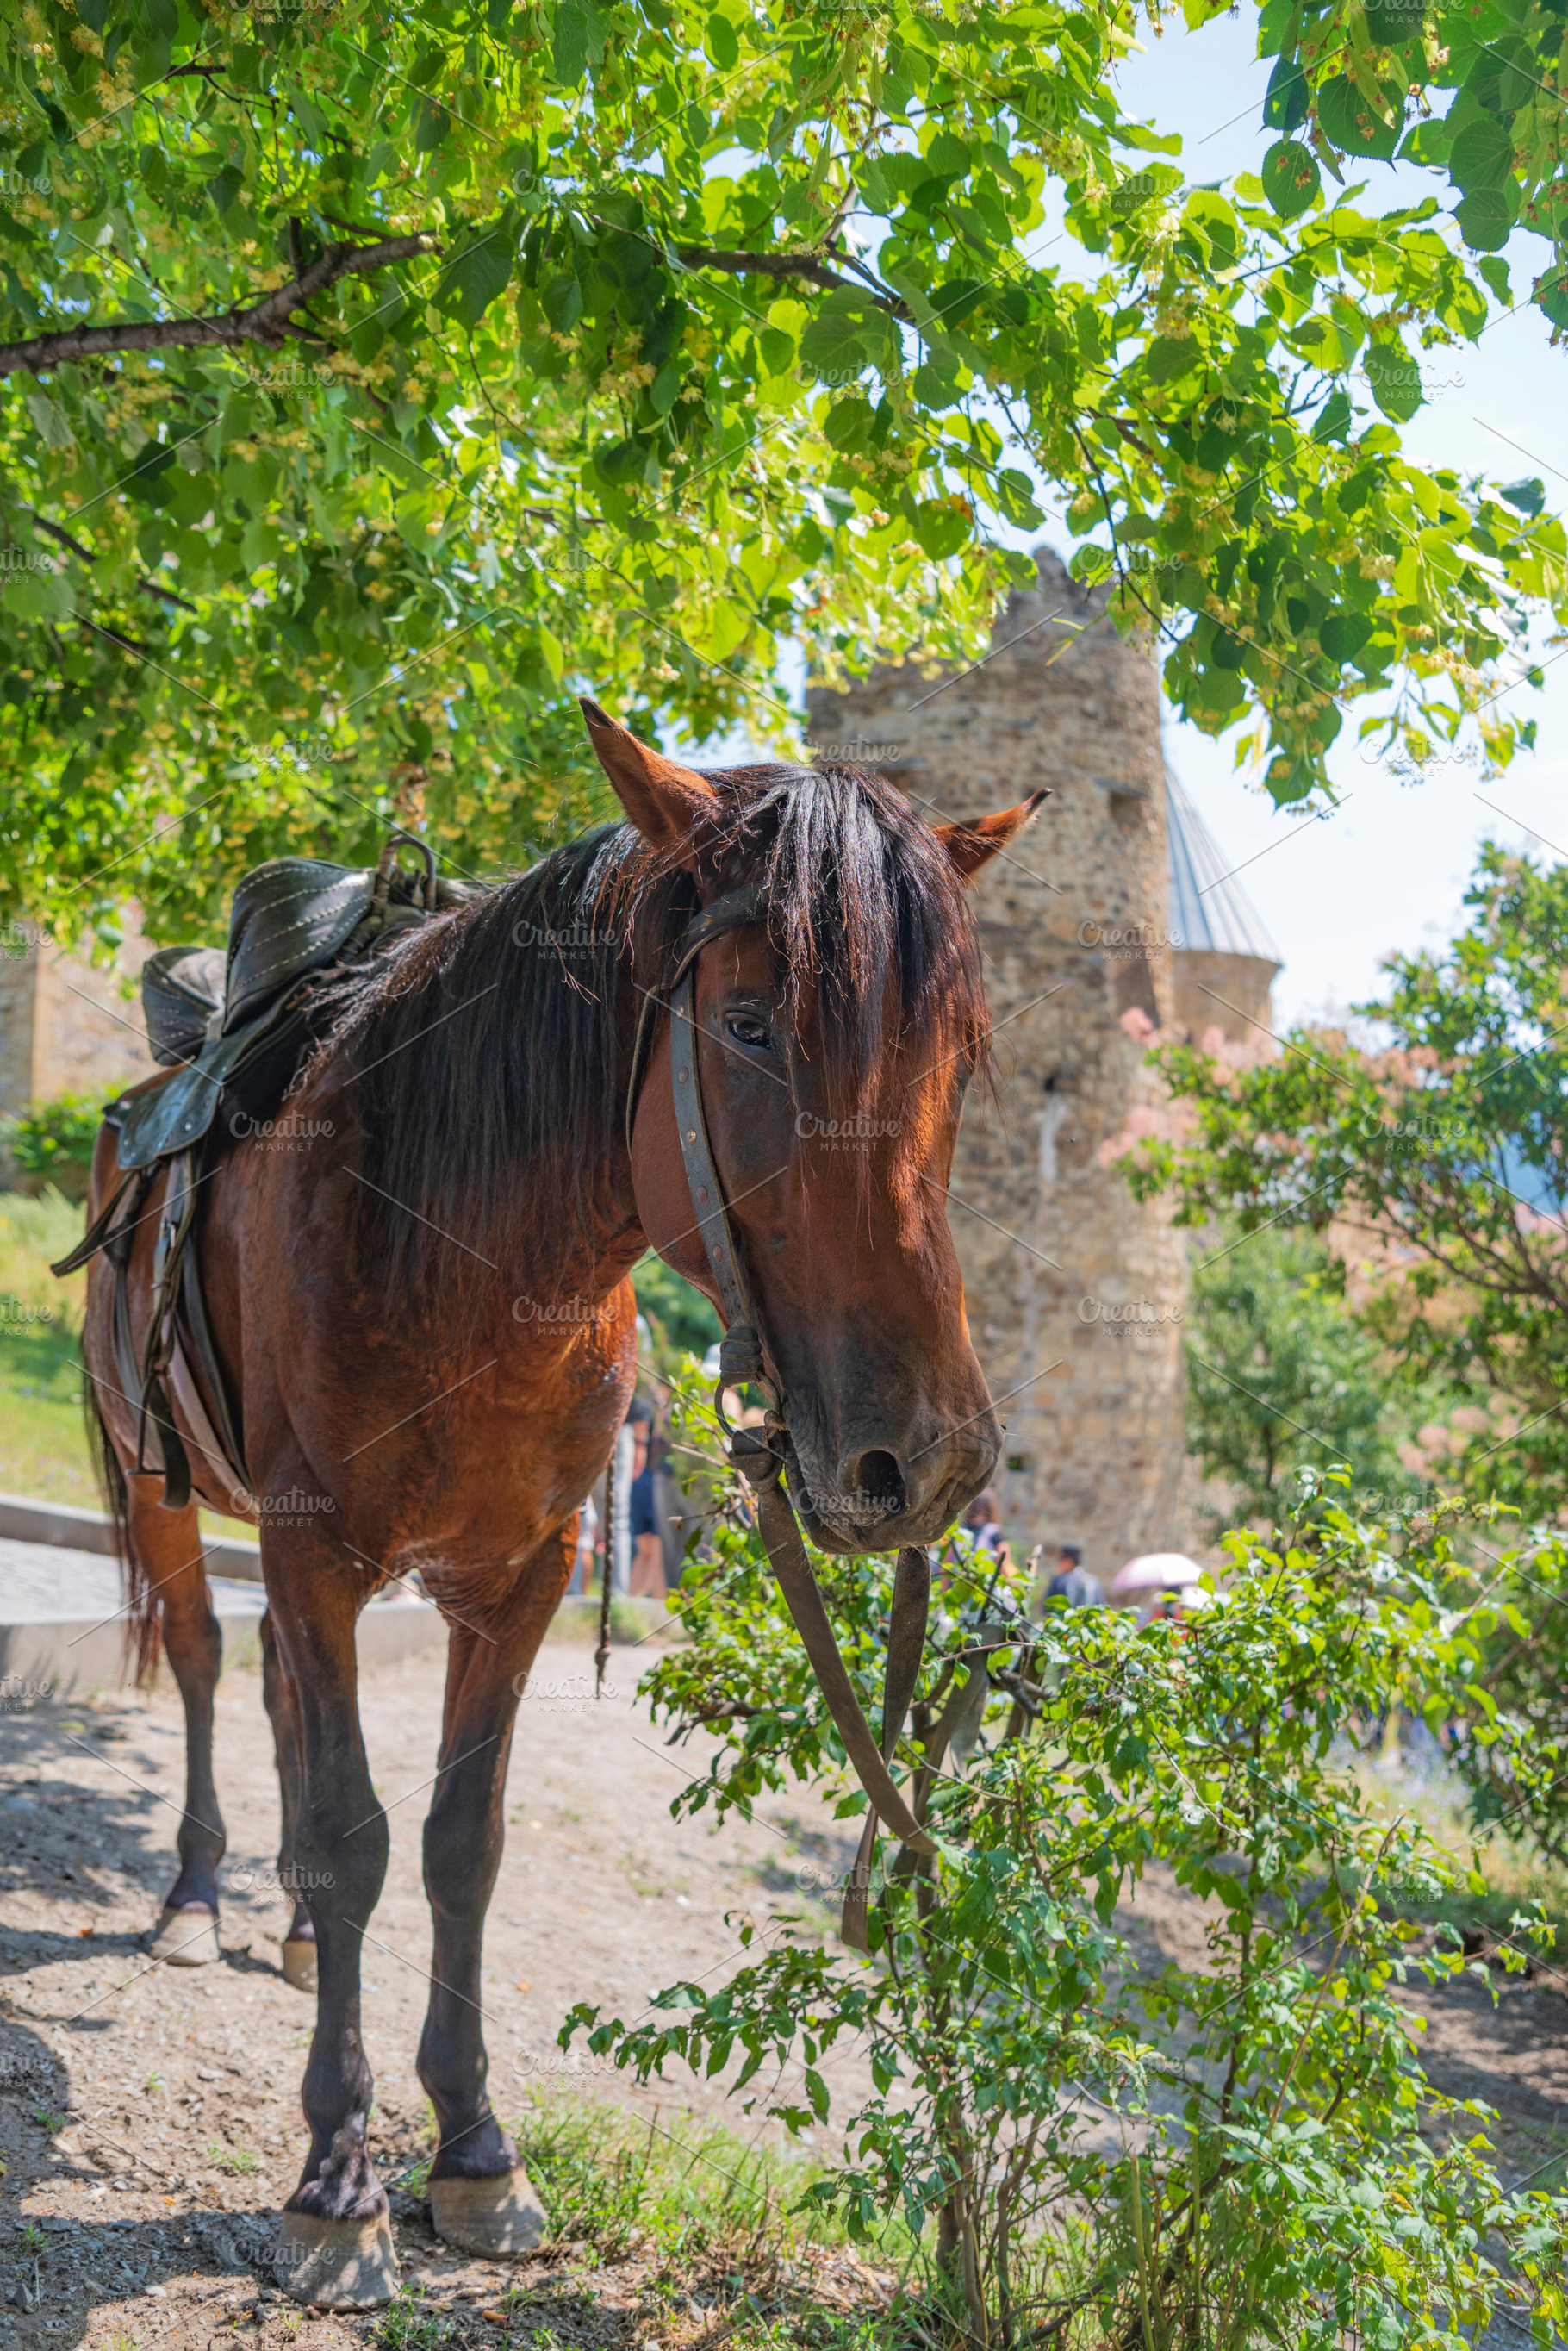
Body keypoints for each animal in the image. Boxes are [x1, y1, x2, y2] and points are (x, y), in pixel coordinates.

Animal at [75, 699, 1042, 2306]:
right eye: (748, 1023)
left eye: (956, 1054)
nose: (929, 1460)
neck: (459, 1252)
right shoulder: (316, 1552)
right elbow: (355, 1835)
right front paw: (338, 2181)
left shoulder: (524, 1573)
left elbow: (463, 1842)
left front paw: (472, 2146)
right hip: (162, 1482)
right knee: (214, 1664)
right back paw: (202, 1901)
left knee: (274, 1695)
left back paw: (282, 1924)